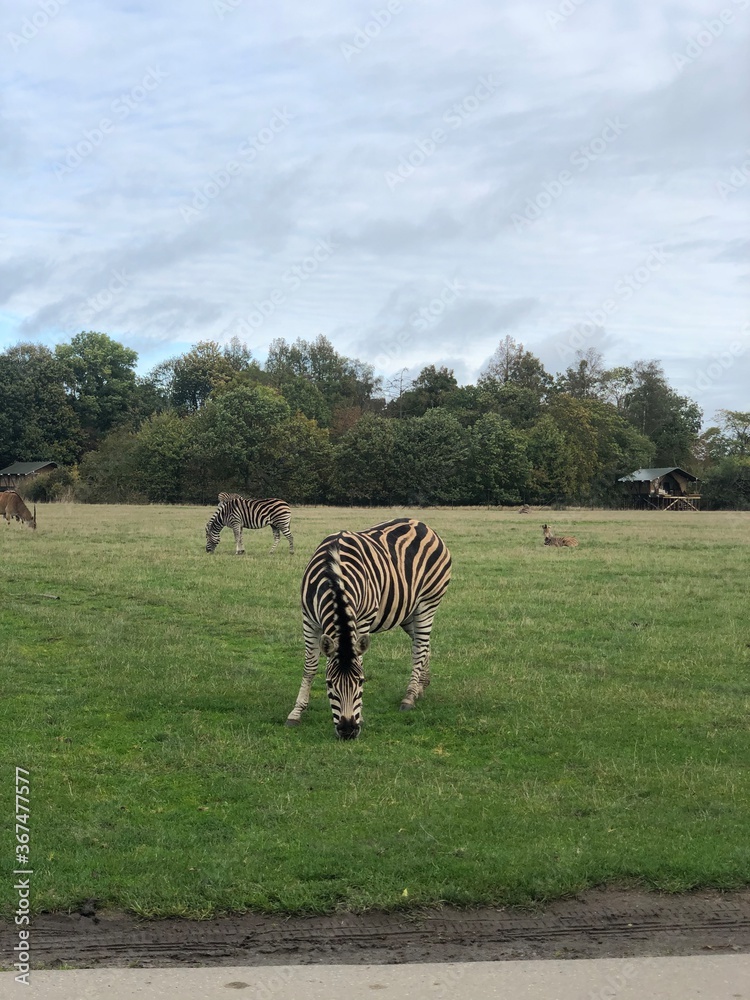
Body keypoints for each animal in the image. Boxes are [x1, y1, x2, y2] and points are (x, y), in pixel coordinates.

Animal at [286, 517, 452, 740]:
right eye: (329, 684)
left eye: (361, 682)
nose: (348, 731)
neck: (333, 575)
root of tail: (422, 524)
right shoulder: (309, 620)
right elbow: (310, 667)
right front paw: (296, 712)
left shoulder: (362, 619)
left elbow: (360, 661)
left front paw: (361, 717)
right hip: (408, 612)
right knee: (423, 645)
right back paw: (420, 688)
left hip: (428, 603)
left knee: (420, 648)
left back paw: (409, 697)